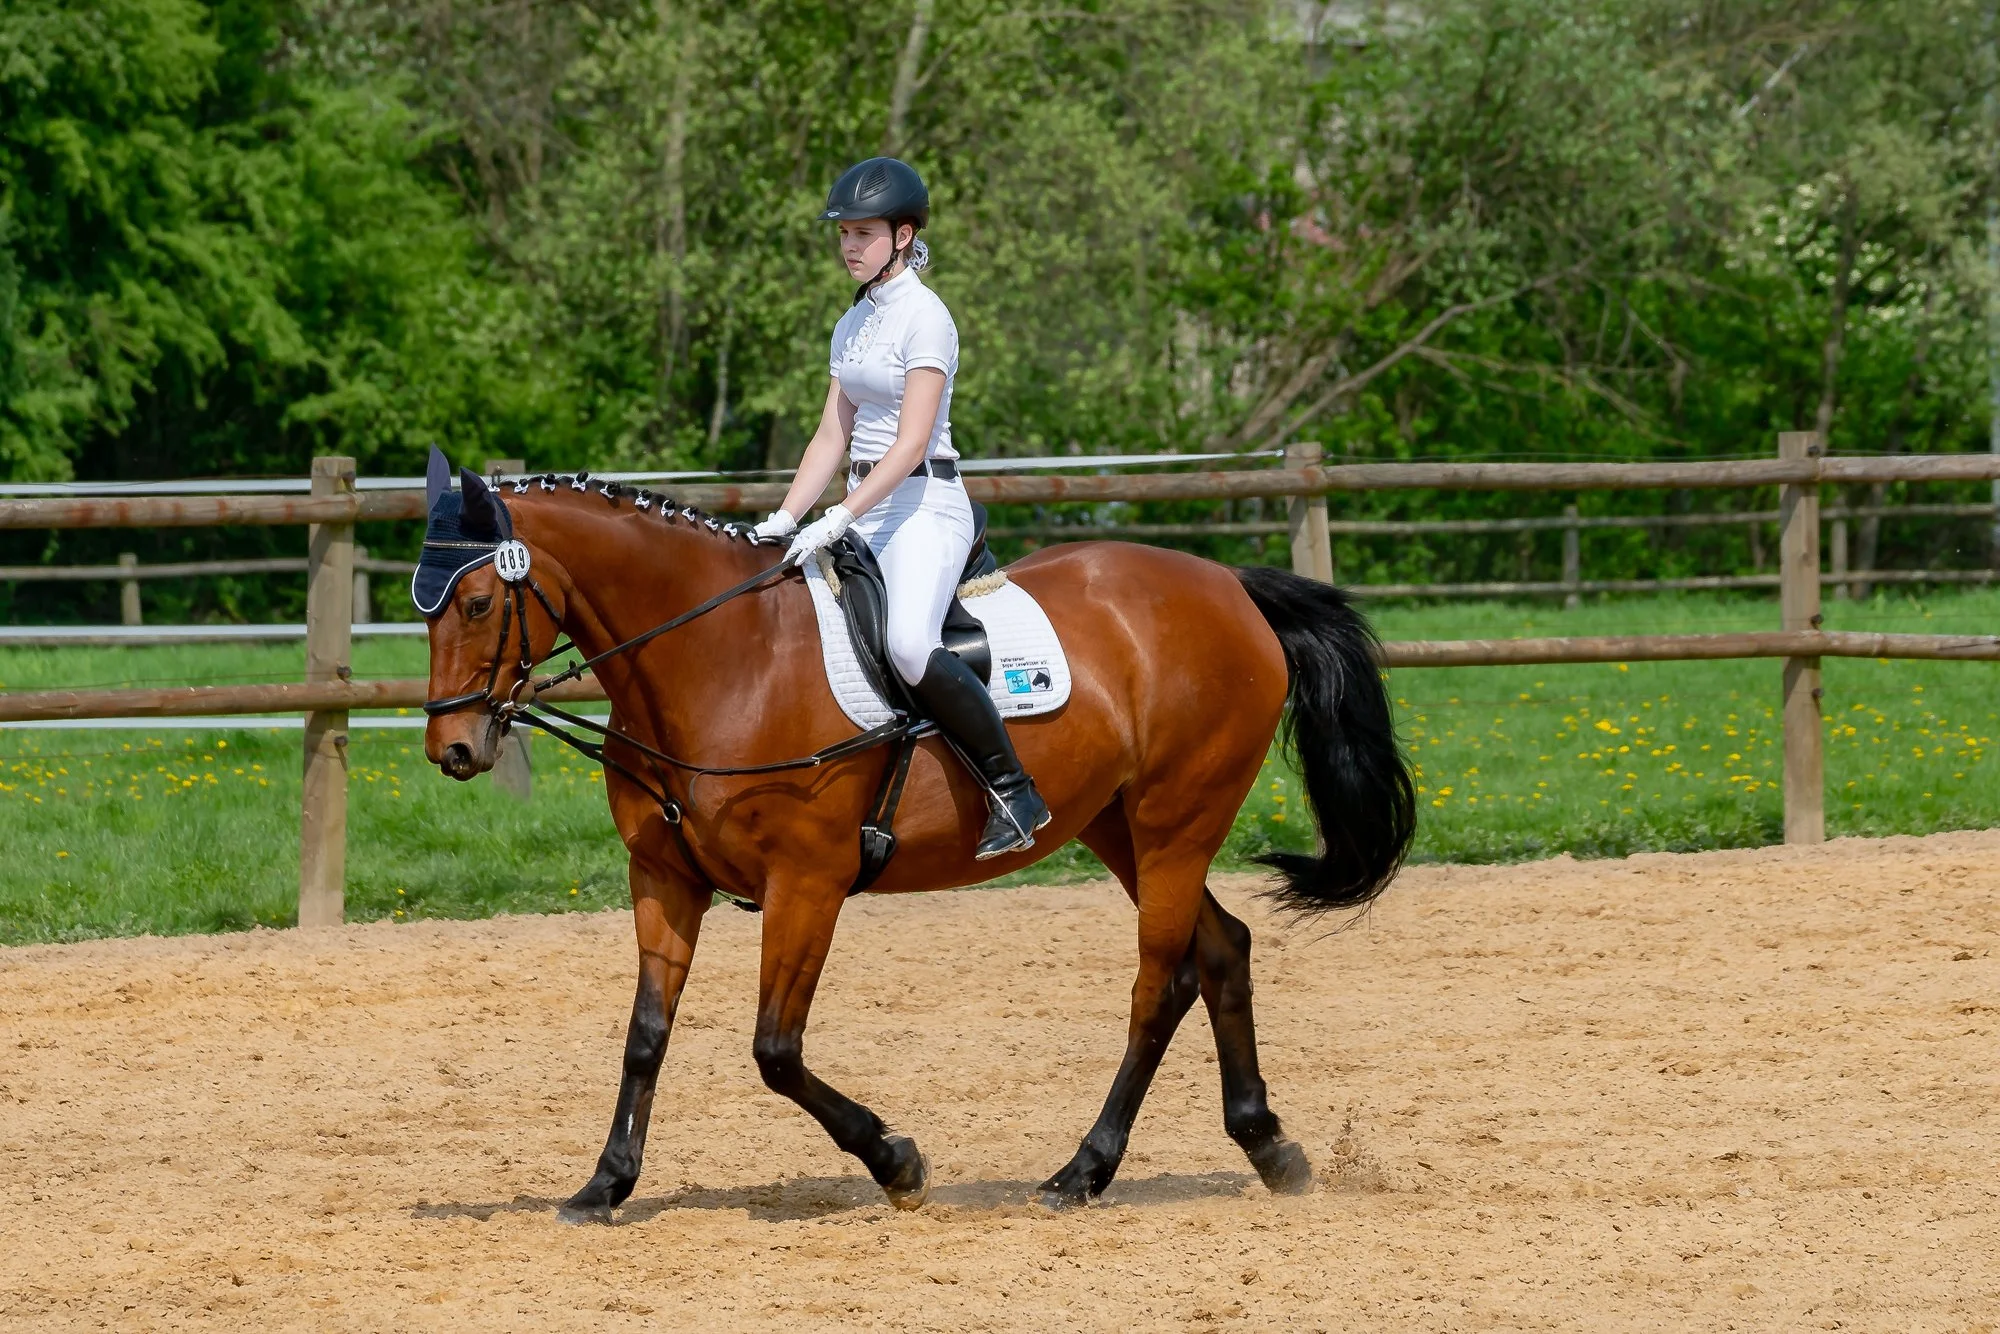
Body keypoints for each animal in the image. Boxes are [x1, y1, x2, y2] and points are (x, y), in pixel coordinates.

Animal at [418, 467, 1414, 1222]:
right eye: (422, 608)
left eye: (477, 602)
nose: (452, 750)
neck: (720, 660)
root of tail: (1226, 585)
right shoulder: (663, 878)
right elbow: (645, 1037)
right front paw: (605, 1185)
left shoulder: (807, 882)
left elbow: (776, 1049)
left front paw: (896, 1161)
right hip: (1119, 826)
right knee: (1221, 950)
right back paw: (1269, 1147)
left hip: (1177, 822)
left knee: (1159, 984)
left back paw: (1082, 1171)